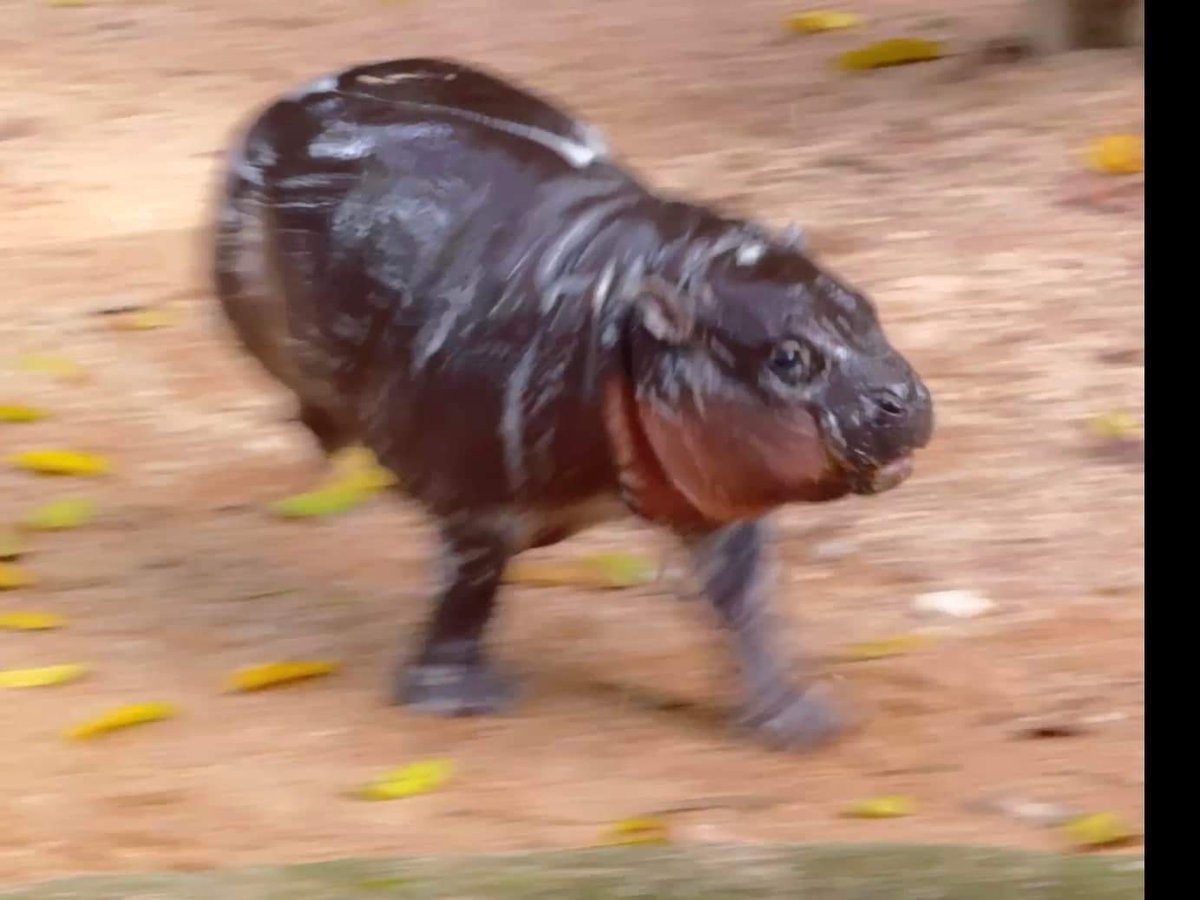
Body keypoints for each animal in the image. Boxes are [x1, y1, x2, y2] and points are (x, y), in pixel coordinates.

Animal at [209, 57, 934, 749]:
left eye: (867, 307)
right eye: (787, 358)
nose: (903, 397)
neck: (637, 303)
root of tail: (279, 109)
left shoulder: (712, 486)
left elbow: (744, 598)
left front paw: (799, 723)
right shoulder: (478, 505)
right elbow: (468, 590)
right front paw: (458, 702)